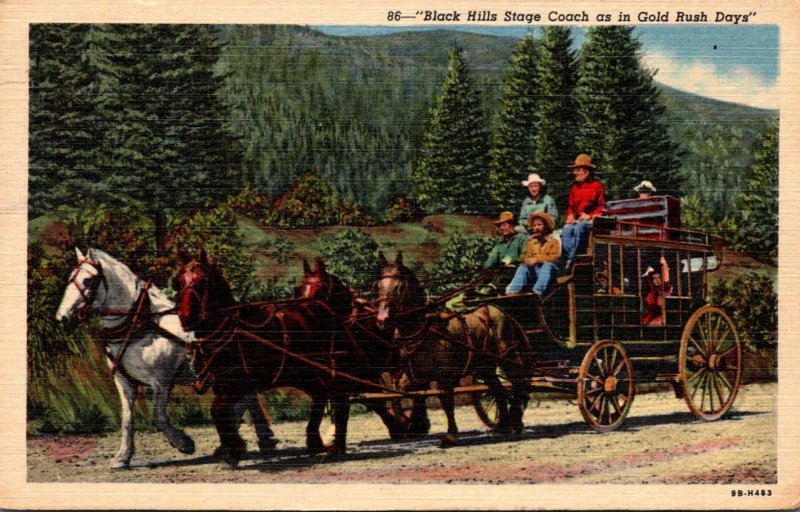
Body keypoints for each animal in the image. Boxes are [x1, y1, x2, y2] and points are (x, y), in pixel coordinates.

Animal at [54, 247, 276, 468]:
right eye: (70, 279)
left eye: (88, 281)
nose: (62, 318)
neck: (140, 326)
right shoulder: (124, 382)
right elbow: (127, 419)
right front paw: (122, 457)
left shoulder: (161, 382)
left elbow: (159, 418)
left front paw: (184, 443)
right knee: (248, 400)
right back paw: (260, 441)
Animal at [174, 250, 394, 466]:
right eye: (178, 281)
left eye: (202, 280)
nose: (185, 318)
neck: (233, 330)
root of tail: (326, 309)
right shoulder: (220, 384)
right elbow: (223, 413)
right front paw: (230, 450)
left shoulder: (238, 384)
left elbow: (217, 411)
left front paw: (235, 449)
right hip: (308, 374)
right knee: (322, 396)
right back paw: (317, 442)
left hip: (330, 370)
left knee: (340, 401)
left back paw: (338, 447)